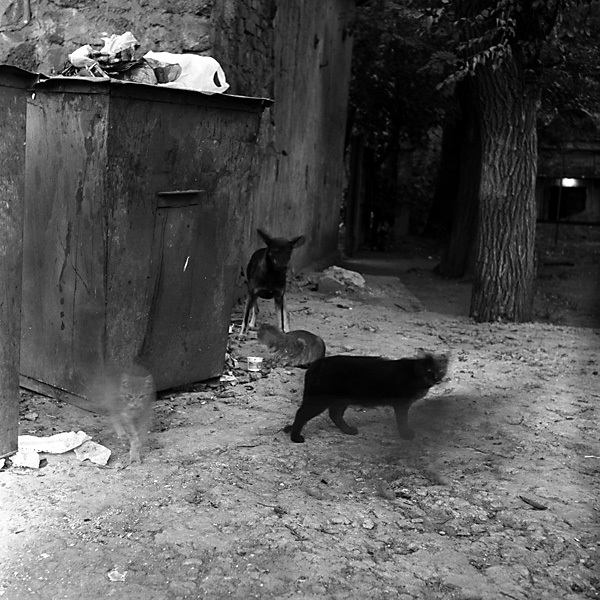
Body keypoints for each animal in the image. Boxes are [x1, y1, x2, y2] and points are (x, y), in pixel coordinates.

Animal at [284, 352, 448, 440]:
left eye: (440, 370)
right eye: (428, 370)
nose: (436, 378)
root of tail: (316, 363)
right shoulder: (401, 404)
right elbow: (402, 420)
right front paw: (406, 434)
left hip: (341, 400)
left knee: (334, 414)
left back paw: (349, 430)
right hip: (320, 399)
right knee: (301, 414)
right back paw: (296, 438)